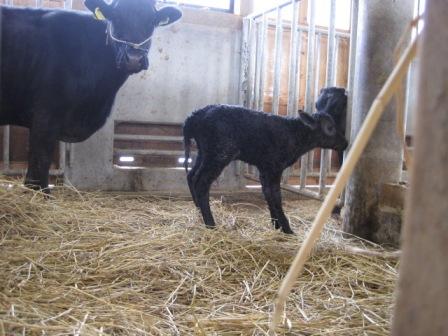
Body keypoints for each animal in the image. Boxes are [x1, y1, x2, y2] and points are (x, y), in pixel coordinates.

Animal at [181, 105, 346, 234]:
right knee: (201, 182)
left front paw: (276, 224)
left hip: (205, 152)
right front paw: (287, 229)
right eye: (330, 128)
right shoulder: (274, 167)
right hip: (219, 153)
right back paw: (210, 223)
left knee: (192, 176)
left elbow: (268, 193)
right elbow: (276, 196)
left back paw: (198, 210)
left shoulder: (265, 167)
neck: (295, 134)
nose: (345, 142)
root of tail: (194, 117)